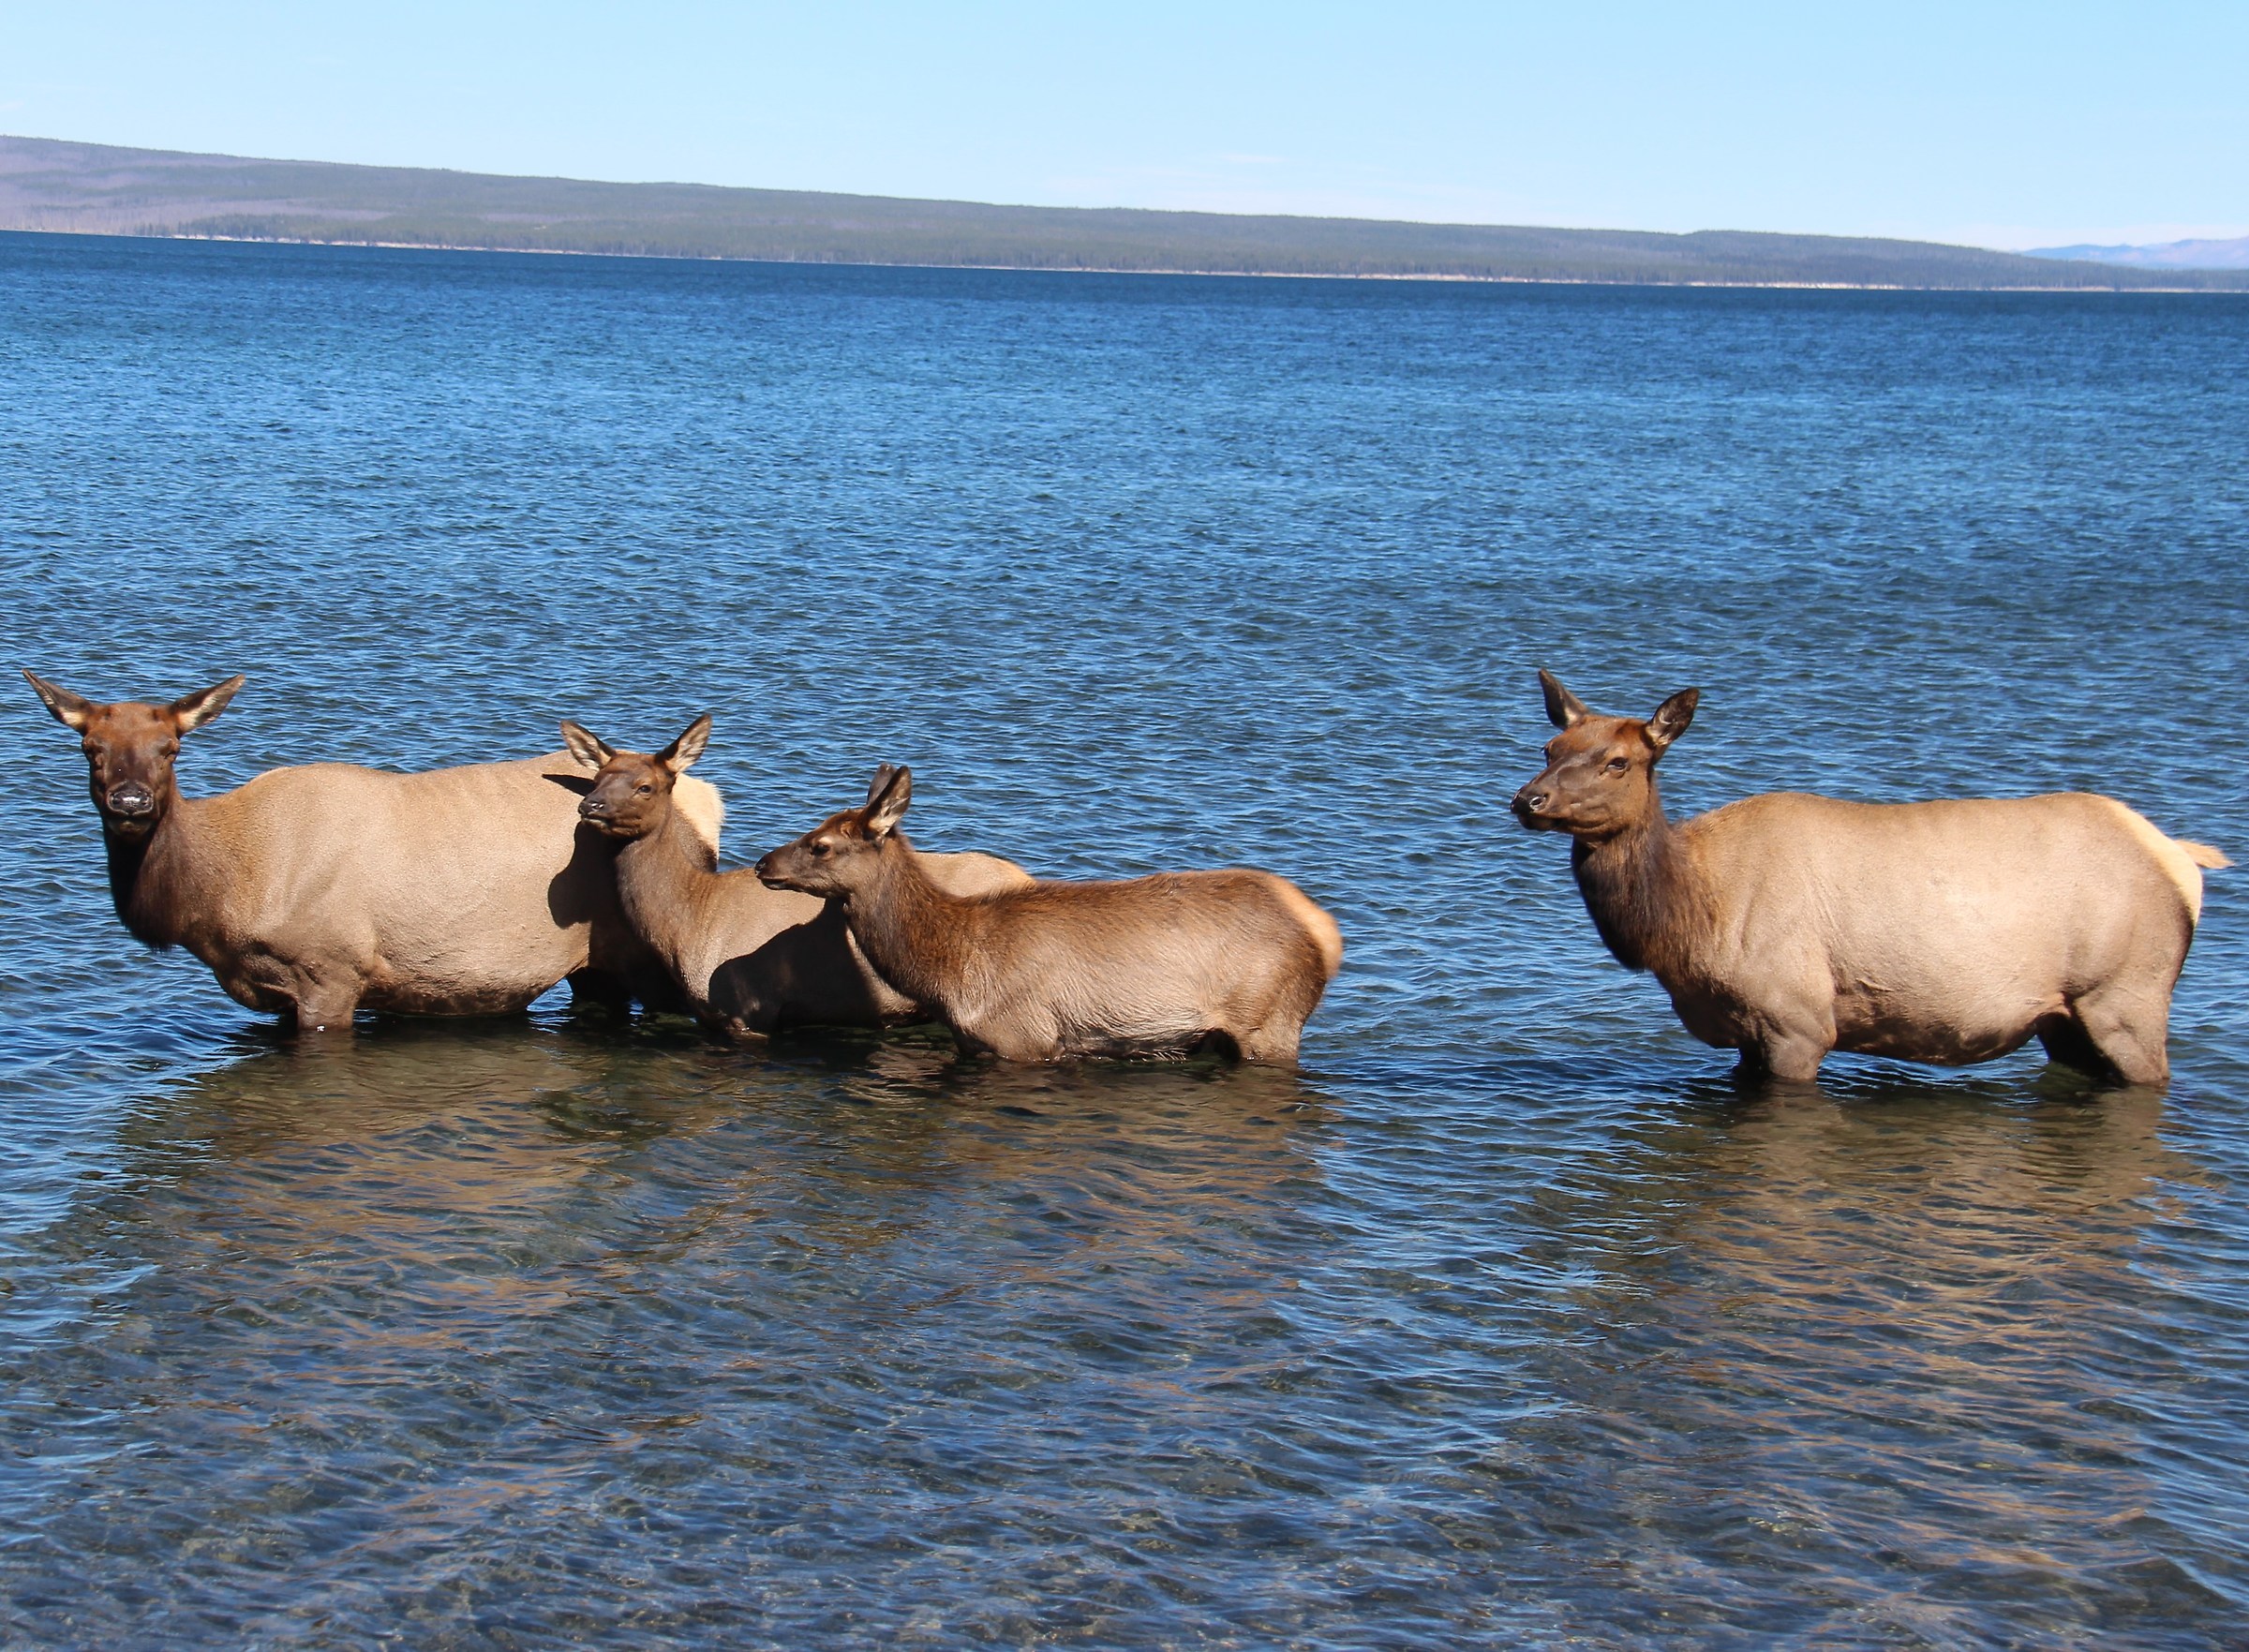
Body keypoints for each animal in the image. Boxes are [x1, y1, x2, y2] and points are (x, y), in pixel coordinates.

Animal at [25, 669, 720, 1032]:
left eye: (170, 748)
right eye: (91, 748)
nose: (132, 801)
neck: (218, 901)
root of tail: (705, 801)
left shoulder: (330, 972)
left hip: (650, 955)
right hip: (595, 966)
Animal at [752, 765, 1344, 1063]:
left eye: (821, 845)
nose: (762, 863)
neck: (949, 971)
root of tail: (1328, 934)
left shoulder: (1026, 1038)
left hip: (1270, 1024)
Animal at [1511, 670, 2229, 1086]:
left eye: (1619, 762)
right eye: (1550, 748)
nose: (1528, 799)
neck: (1688, 926)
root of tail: (2182, 858)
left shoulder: (1797, 1020)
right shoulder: (1743, 1032)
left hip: (2126, 995)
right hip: (2066, 1019)